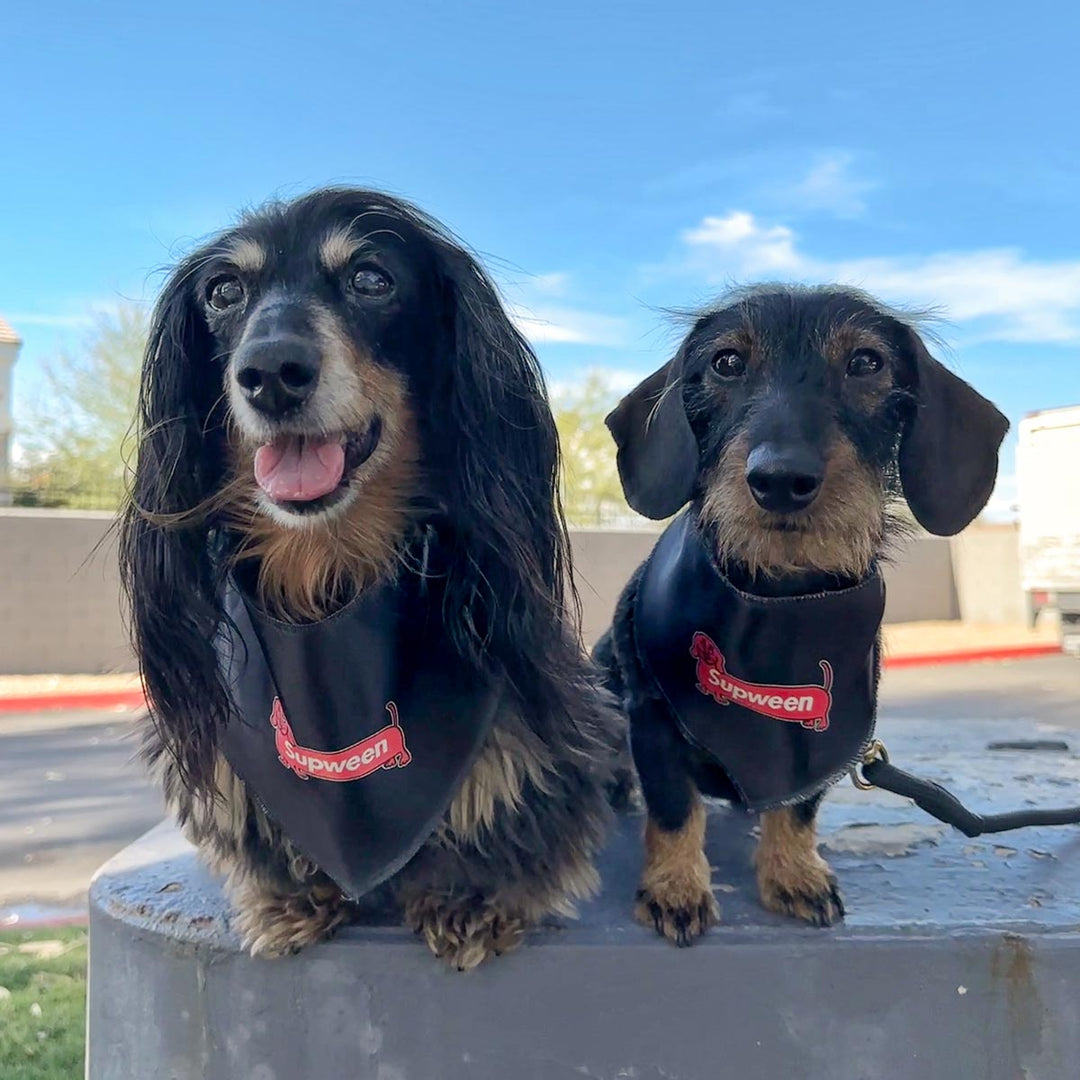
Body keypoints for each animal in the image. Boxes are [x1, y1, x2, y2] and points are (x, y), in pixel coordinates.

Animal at [119, 187, 622, 972]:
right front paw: (290, 895)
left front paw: (473, 896)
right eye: (224, 292)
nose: (270, 372)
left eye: (371, 279)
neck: (330, 586)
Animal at [596, 287, 1006, 946]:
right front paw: (675, 887)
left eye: (867, 362)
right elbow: (674, 809)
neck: (780, 599)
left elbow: (799, 807)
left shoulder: (828, 742)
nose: (780, 479)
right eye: (726, 363)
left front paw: (794, 873)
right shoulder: (650, 715)